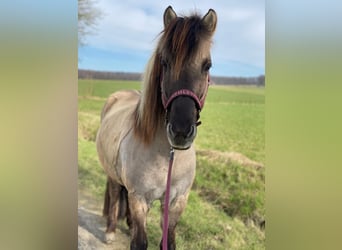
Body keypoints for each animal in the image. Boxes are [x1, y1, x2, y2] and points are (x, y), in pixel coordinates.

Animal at [95, 5, 216, 250]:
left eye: (207, 65)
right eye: (165, 63)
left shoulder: (177, 202)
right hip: (113, 176)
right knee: (115, 194)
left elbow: (168, 241)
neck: (167, 155)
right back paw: (111, 230)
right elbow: (139, 242)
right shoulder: (139, 198)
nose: (180, 131)